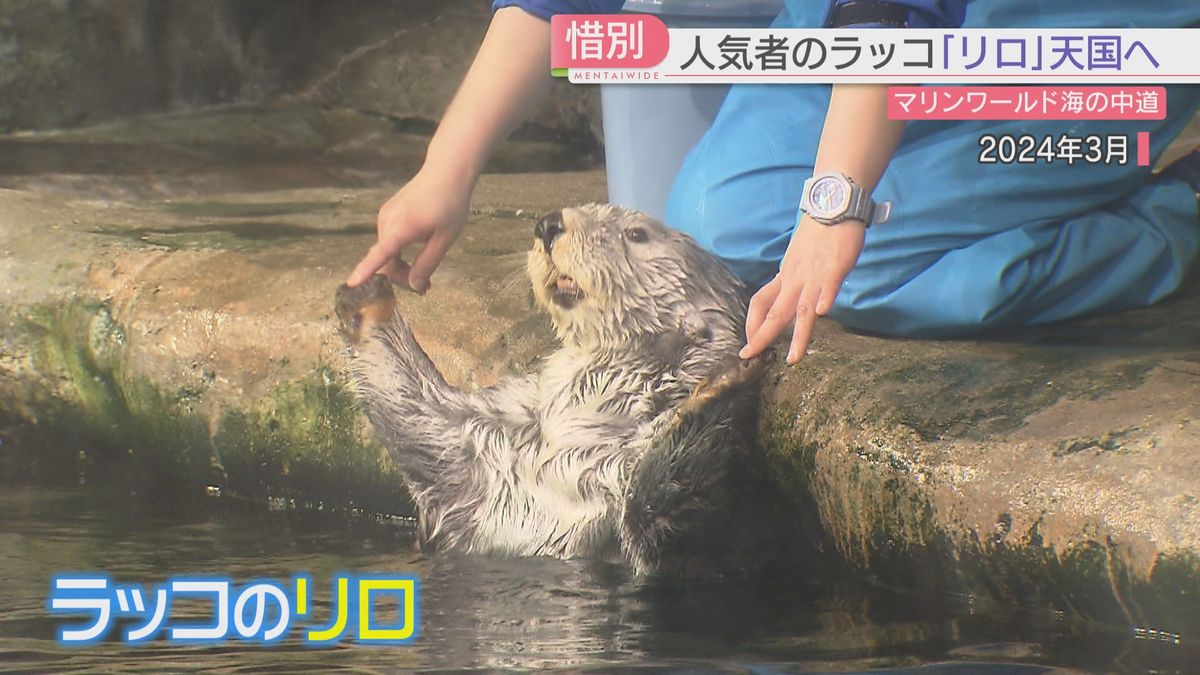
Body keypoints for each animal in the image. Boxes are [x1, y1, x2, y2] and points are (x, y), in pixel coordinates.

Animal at [333, 201, 796, 576]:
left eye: (637, 234)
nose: (548, 223)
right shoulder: (483, 446)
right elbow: (420, 416)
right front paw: (364, 295)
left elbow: (655, 519)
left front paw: (719, 386)